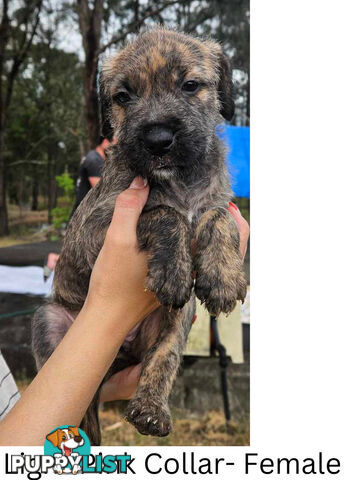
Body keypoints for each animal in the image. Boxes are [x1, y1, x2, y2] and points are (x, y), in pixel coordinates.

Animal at [31, 27, 246, 446]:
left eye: (190, 85)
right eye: (123, 97)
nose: (158, 139)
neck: (179, 179)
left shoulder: (218, 202)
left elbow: (217, 216)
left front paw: (224, 277)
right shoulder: (93, 228)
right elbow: (164, 211)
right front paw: (173, 272)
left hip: (180, 315)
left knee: (164, 356)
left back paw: (150, 409)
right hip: (48, 319)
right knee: (83, 403)